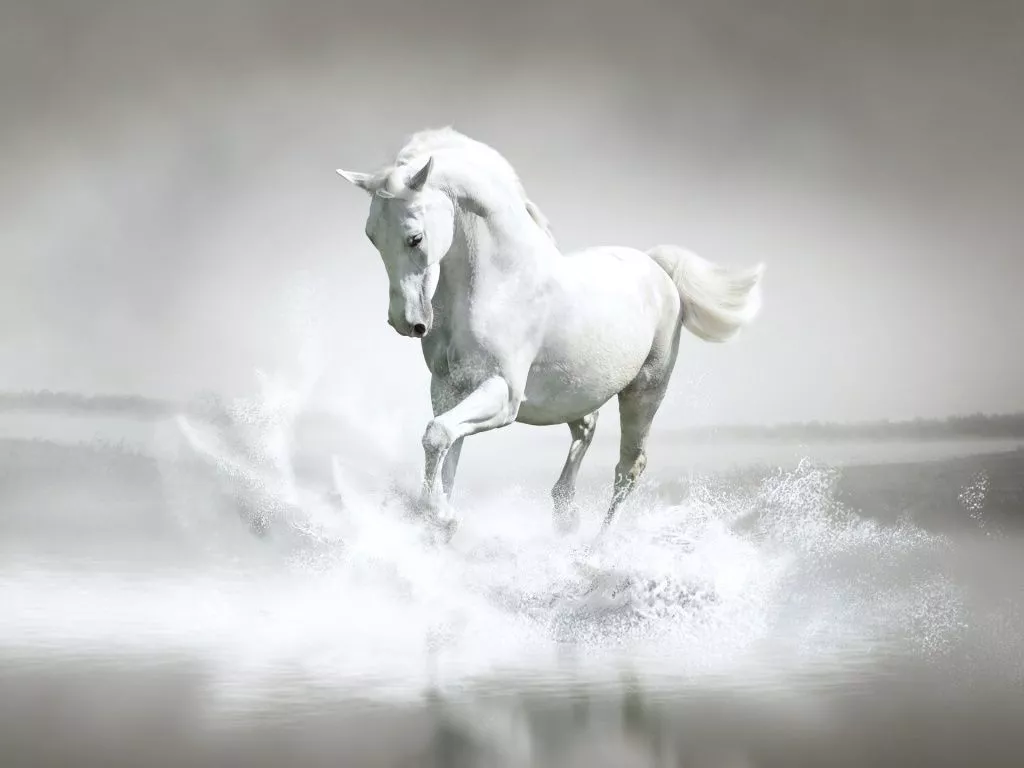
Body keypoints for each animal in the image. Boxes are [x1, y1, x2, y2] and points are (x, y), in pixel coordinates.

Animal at [336, 127, 764, 541]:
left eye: (415, 238)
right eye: (372, 237)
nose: (406, 322)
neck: (501, 284)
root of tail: (658, 269)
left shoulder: (503, 394)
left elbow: (437, 435)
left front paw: (441, 516)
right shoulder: (447, 388)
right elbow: (446, 449)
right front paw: (438, 519)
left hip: (645, 391)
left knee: (629, 468)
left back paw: (597, 547)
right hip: (574, 392)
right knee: (587, 428)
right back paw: (565, 514)